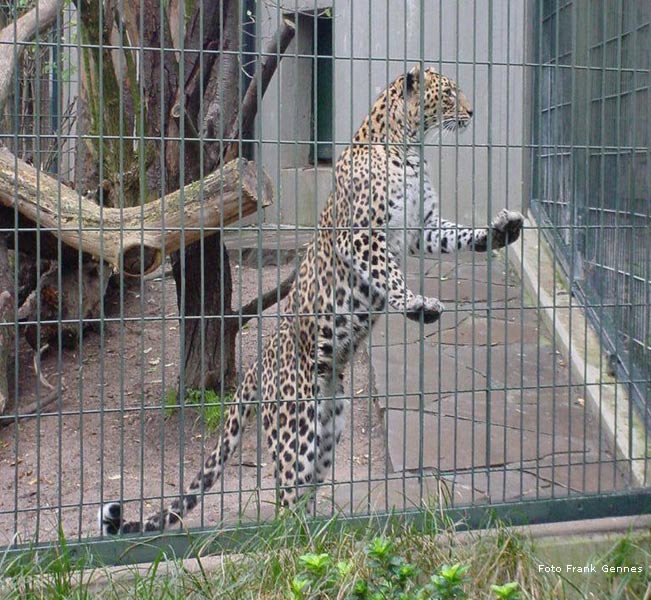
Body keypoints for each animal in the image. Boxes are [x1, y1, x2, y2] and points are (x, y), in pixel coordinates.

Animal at [99, 64, 524, 536]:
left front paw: (501, 230)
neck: (410, 150)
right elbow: (391, 276)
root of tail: (258, 365)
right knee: (284, 496)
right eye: (448, 94)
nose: (471, 111)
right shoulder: (362, 237)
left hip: (330, 424)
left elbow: (460, 235)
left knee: (304, 491)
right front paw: (418, 304)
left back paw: (319, 531)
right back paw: (299, 541)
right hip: (296, 426)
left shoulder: (424, 228)